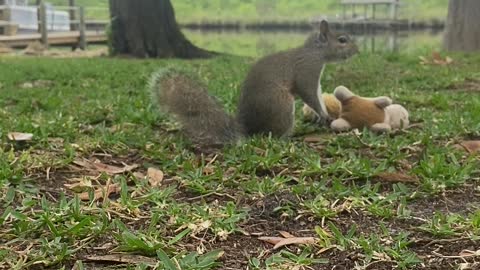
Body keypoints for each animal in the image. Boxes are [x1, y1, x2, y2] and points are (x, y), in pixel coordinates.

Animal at [152, 20, 358, 148]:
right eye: (342, 40)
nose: (357, 50)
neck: (315, 53)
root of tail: (247, 129)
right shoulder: (306, 71)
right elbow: (309, 94)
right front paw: (324, 115)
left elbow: (316, 96)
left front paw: (321, 115)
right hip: (281, 105)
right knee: (273, 134)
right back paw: (288, 138)